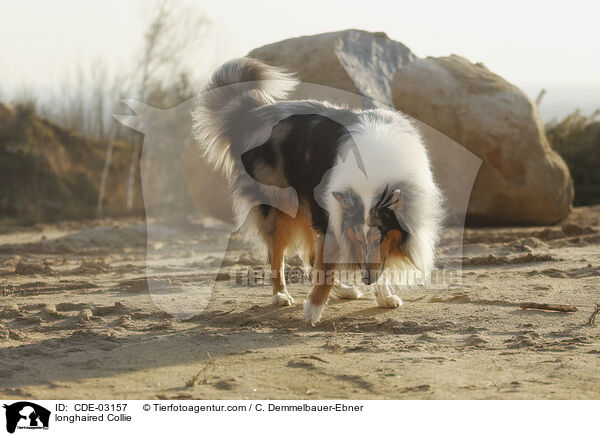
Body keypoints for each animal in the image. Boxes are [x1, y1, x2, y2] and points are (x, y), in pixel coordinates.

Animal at [191, 57, 440, 324]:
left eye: (379, 238)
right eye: (358, 237)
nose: (366, 279)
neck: (375, 170)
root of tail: (253, 114)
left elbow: (355, 260)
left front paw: (383, 296)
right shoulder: (336, 219)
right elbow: (327, 265)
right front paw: (313, 309)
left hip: (309, 204)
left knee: (311, 255)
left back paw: (345, 290)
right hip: (282, 207)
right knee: (276, 256)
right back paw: (281, 295)